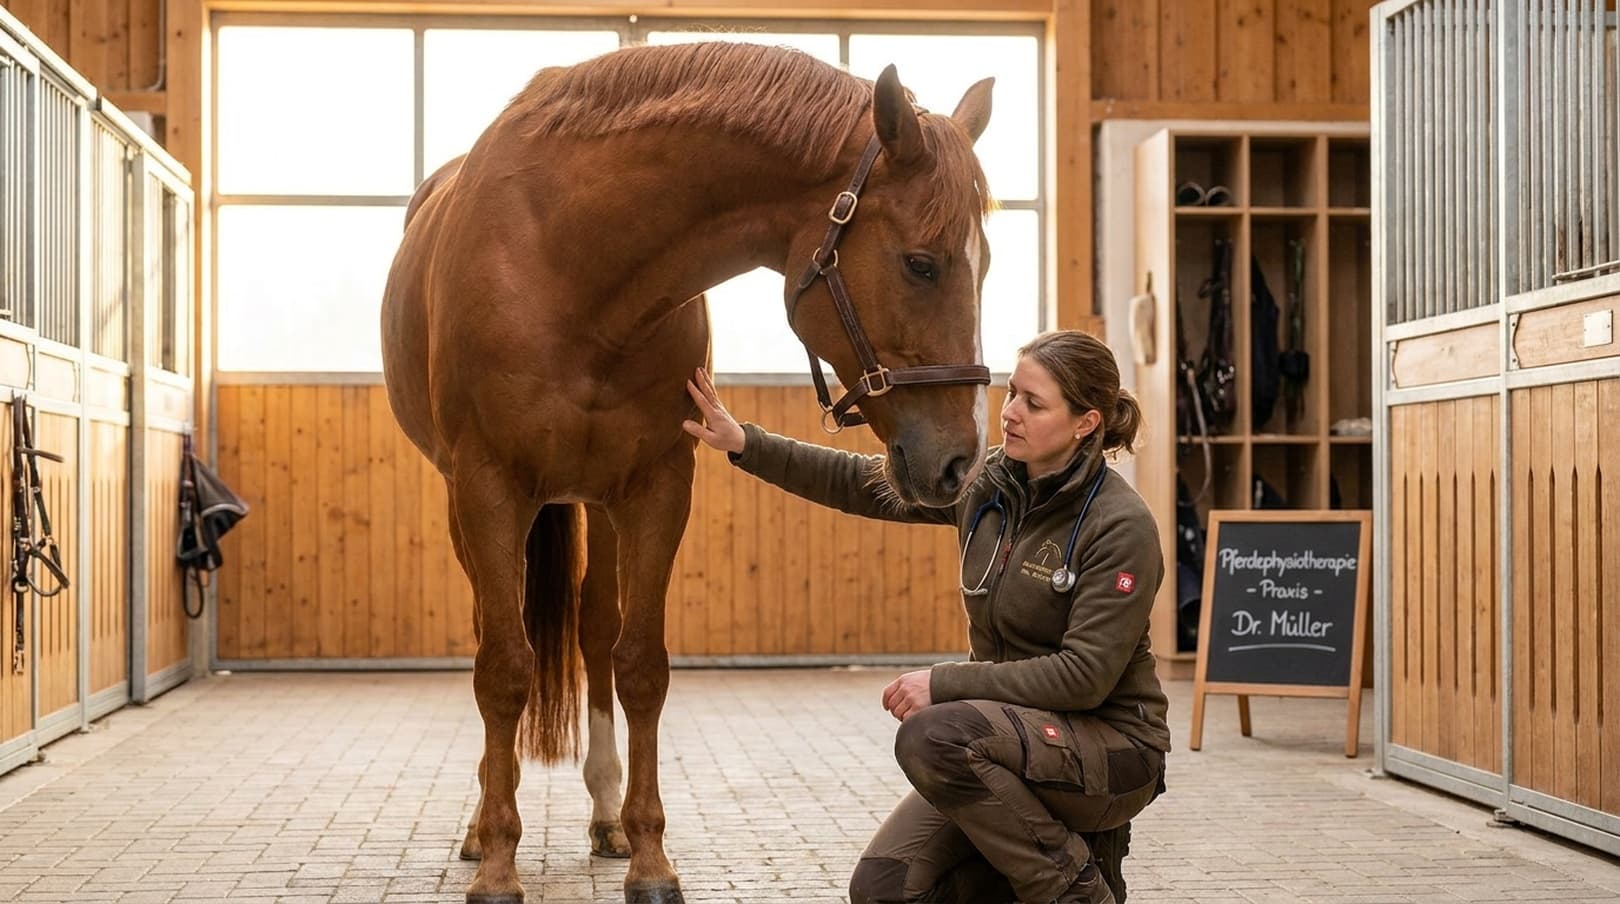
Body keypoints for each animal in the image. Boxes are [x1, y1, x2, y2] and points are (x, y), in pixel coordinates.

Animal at [381, 41, 995, 904]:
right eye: (921, 264)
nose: (959, 460)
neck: (570, 262)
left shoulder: (657, 488)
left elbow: (640, 665)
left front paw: (649, 858)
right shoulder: (488, 487)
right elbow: (502, 669)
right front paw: (499, 863)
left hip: (597, 501)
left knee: (595, 630)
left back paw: (605, 813)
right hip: (472, 503)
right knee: (496, 637)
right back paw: (479, 828)